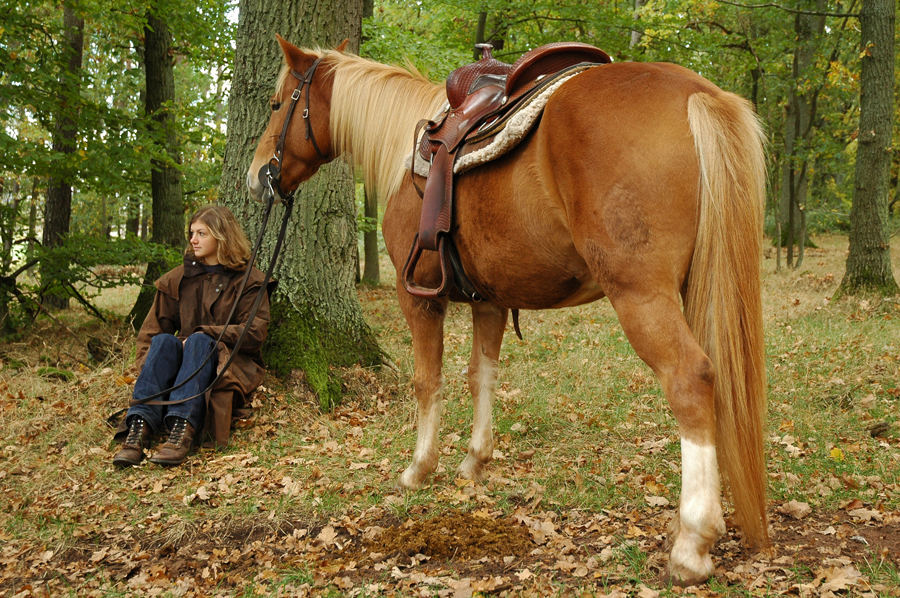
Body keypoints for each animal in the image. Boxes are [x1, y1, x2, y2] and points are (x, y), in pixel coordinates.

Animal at [246, 35, 768, 584]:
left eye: (277, 104)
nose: (258, 178)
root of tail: (697, 92)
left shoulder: (419, 299)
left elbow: (427, 380)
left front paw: (419, 468)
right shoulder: (490, 301)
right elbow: (482, 376)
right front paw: (475, 461)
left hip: (641, 294)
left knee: (691, 380)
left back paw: (692, 542)